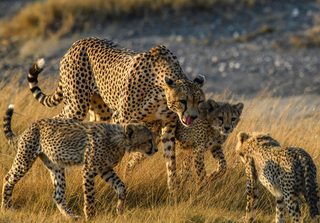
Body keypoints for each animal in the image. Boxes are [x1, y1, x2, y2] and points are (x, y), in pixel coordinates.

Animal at [2, 104, 158, 220]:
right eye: (149, 140)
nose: (156, 149)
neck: (120, 140)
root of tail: (32, 125)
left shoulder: (105, 169)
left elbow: (121, 186)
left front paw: (120, 209)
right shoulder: (89, 169)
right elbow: (90, 196)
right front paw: (91, 216)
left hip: (56, 166)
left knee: (58, 195)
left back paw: (71, 216)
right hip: (25, 158)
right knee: (8, 178)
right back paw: (6, 207)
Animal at [28, 37, 206, 192]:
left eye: (200, 101)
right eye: (183, 101)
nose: (193, 117)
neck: (161, 91)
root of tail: (79, 42)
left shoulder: (166, 126)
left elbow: (170, 159)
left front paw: (173, 190)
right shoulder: (120, 119)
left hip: (100, 111)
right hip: (76, 105)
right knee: (57, 121)